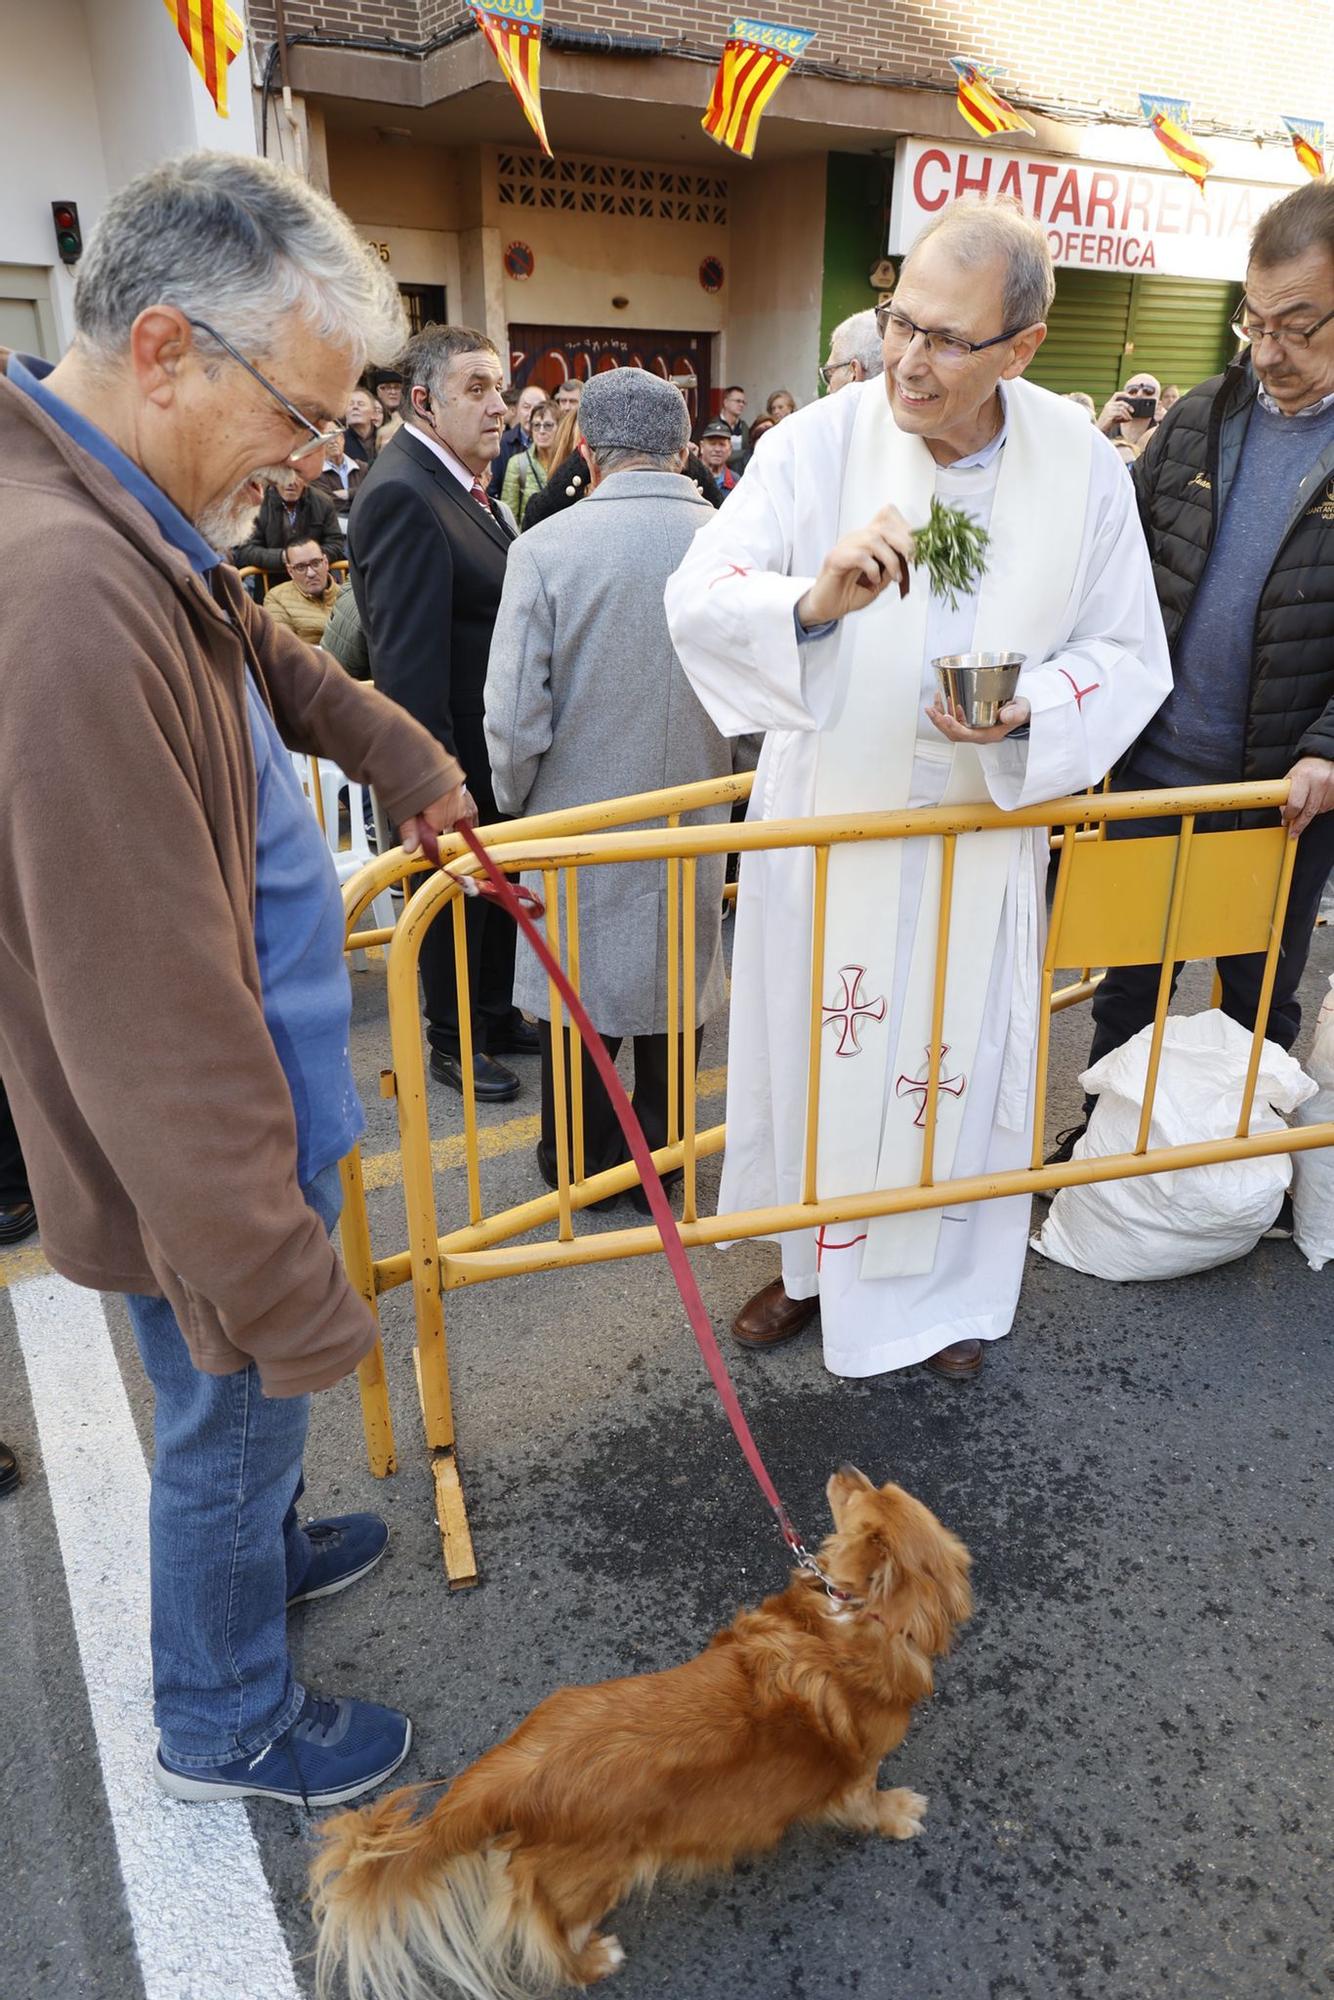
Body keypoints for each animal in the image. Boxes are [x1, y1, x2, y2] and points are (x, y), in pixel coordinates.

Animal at [314, 1472, 972, 2000]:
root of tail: (511, 1776)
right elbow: (868, 1801)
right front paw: (898, 1813)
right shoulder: (858, 1769)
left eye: (880, 1491)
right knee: (548, 1938)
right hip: (594, 1881)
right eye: (866, 1501)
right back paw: (592, 1961)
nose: (844, 1468)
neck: (859, 1622)